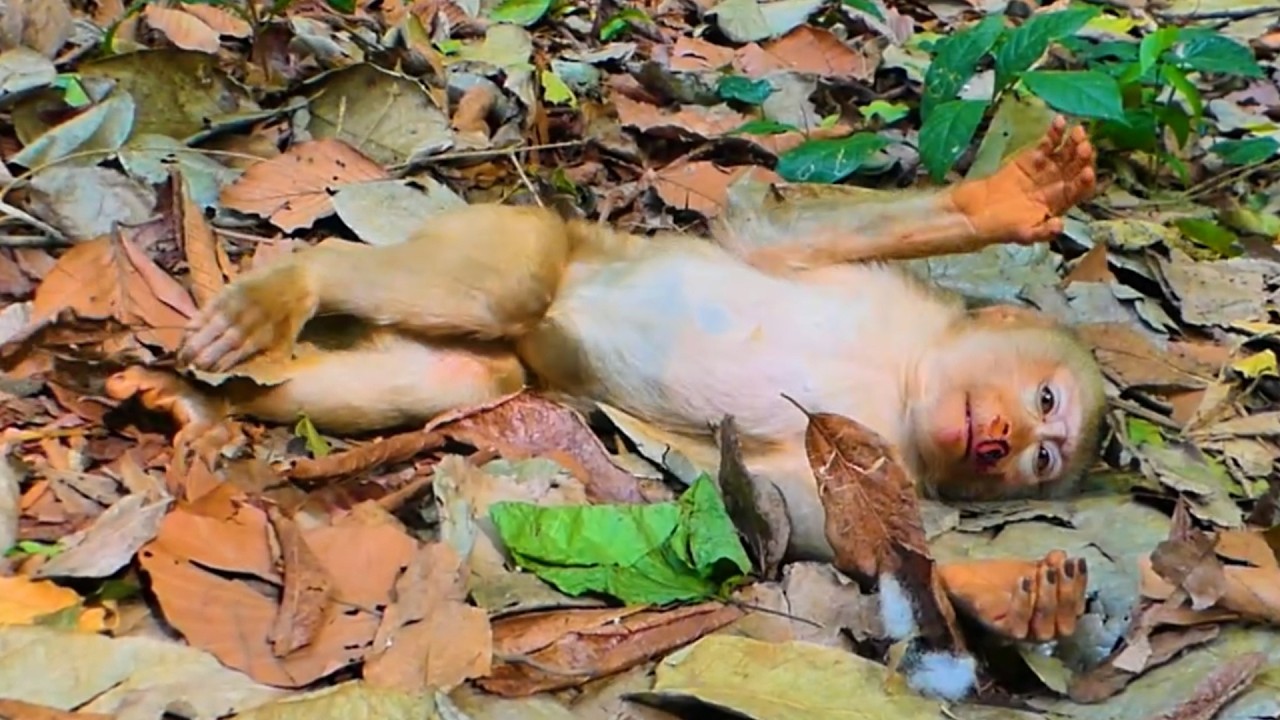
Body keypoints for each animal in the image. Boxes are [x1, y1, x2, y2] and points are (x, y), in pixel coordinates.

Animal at [107, 117, 1103, 659]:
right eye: (1045, 404)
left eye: (1042, 457)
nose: (1000, 441)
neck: (903, 383)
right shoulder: (868, 289)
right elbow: (767, 228)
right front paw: (1001, 200)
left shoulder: (878, 457)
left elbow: (802, 516)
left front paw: (1006, 590)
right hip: (519, 233)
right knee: (492, 289)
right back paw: (298, 284)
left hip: (500, 353)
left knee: (465, 371)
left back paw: (209, 404)